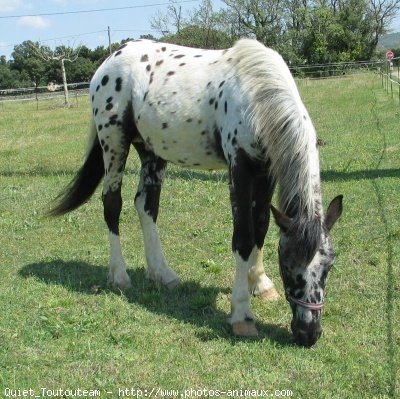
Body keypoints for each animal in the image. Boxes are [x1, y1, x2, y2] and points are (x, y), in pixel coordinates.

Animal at [49, 39, 344, 348]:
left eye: (329, 265)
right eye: (288, 266)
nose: (308, 333)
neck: (256, 91)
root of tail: (108, 63)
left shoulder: (266, 170)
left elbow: (261, 226)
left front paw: (261, 285)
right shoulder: (239, 168)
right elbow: (243, 237)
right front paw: (241, 315)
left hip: (151, 151)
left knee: (146, 205)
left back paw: (162, 274)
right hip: (114, 143)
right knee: (112, 204)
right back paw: (119, 276)